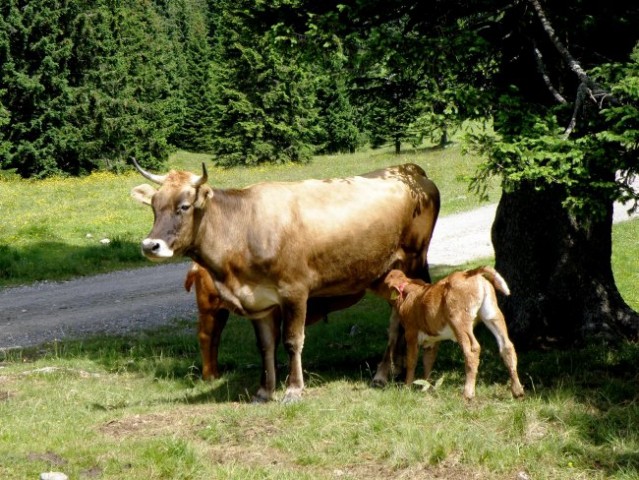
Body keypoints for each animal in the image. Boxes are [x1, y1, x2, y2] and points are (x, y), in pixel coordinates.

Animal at [130, 159, 440, 404]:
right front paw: (264, 390)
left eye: (184, 206)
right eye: (154, 206)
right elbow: (266, 345)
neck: (243, 227)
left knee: (398, 320)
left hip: (414, 259)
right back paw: (393, 369)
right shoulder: (258, 302)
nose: (150, 245)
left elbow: (292, 341)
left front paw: (293, 389)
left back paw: (384, 373)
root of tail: (409, 169)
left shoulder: (295, 291)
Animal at [384, 266, 524, 402]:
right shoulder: (432, 340)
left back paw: (468, 394)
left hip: (459, 321)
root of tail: (471, 273)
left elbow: (411, 361)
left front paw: (407, 387)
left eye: (385, 283)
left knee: (472, 350)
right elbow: (428, 361)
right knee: (507, 346)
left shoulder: (411, 334)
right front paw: (427, 386)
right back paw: (517, 391)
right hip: (492, 314)